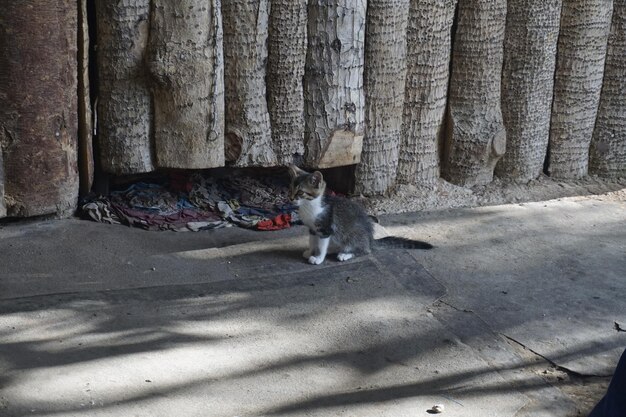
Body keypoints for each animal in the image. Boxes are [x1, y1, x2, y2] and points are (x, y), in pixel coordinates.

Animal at [286, 165, 428, 264]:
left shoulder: (325, 229)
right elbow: (312, 241)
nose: (291, 198)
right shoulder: (312, 229)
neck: (309, 206)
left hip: (352, 235)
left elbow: (321, 245)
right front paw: (310, 252)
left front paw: (318, 258)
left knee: (365, 250)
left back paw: (345, 254)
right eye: (290, 189)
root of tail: (371, 240)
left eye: (300, 192)